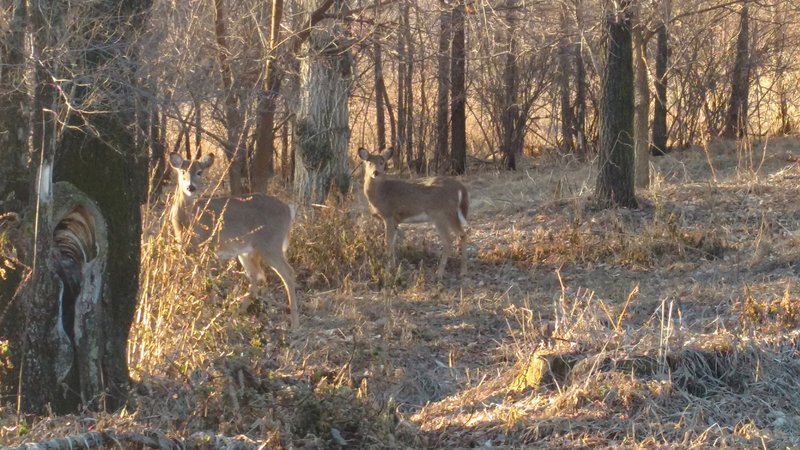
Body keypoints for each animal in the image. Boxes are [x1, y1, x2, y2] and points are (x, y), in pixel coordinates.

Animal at [166, 153, 300, 328]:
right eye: (182, 170)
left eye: (199, 172)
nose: (191, 187)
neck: (187, 222)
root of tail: (289, 210)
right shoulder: (187, 249)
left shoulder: (208, 247)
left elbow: (205, 279)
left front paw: (204, 310)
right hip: (247, 252)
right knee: (257, 276)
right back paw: (236, 315)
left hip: (271, 244)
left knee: (287, 273)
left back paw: (295, 323)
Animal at [358, 147, 468, 278]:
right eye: (369, 162)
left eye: (382, 162)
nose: (376, 172)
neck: (381, 194)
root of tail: (460, 187)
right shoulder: (396, 220)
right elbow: (394, 243)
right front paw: (395, 267)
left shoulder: (389, 215)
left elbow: (388, 243)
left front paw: (387, 271)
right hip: (449, 214)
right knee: (462, 235)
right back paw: (462, 271)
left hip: (442, 214)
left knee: (449, 241)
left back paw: (440, 273)